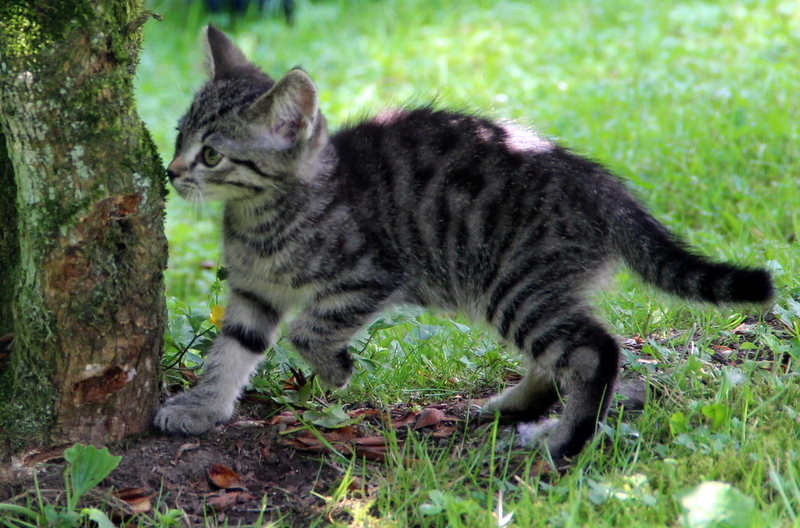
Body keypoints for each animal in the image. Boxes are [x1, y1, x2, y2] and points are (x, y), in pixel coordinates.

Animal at [153, 24, 772, 458]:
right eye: (179, 135)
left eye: (212, 155)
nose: (171, 170)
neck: (264, 215)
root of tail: (599, 184)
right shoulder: (252, 292)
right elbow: (232, 351)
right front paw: (203, 408)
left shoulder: (370, 275)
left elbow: (309, 330)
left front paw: (336, 370)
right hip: (518, 290)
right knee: (557, 359)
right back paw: (511, 409)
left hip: (513, 284)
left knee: (593, 351)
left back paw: (562, 442)